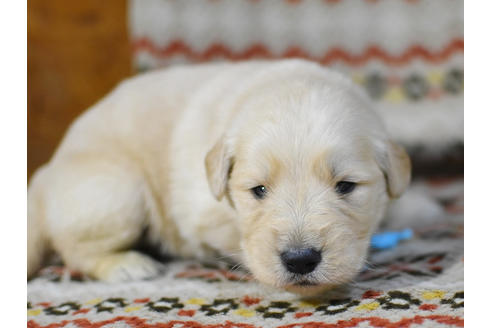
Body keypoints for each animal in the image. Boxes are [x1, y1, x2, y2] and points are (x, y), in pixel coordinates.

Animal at [27, 59, 412, 294]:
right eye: (258, 190)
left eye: (346, 186)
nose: (300, 260)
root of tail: (41, 179)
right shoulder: (200, 211)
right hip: (118, 191)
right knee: (75, 249)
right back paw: (127, 265)